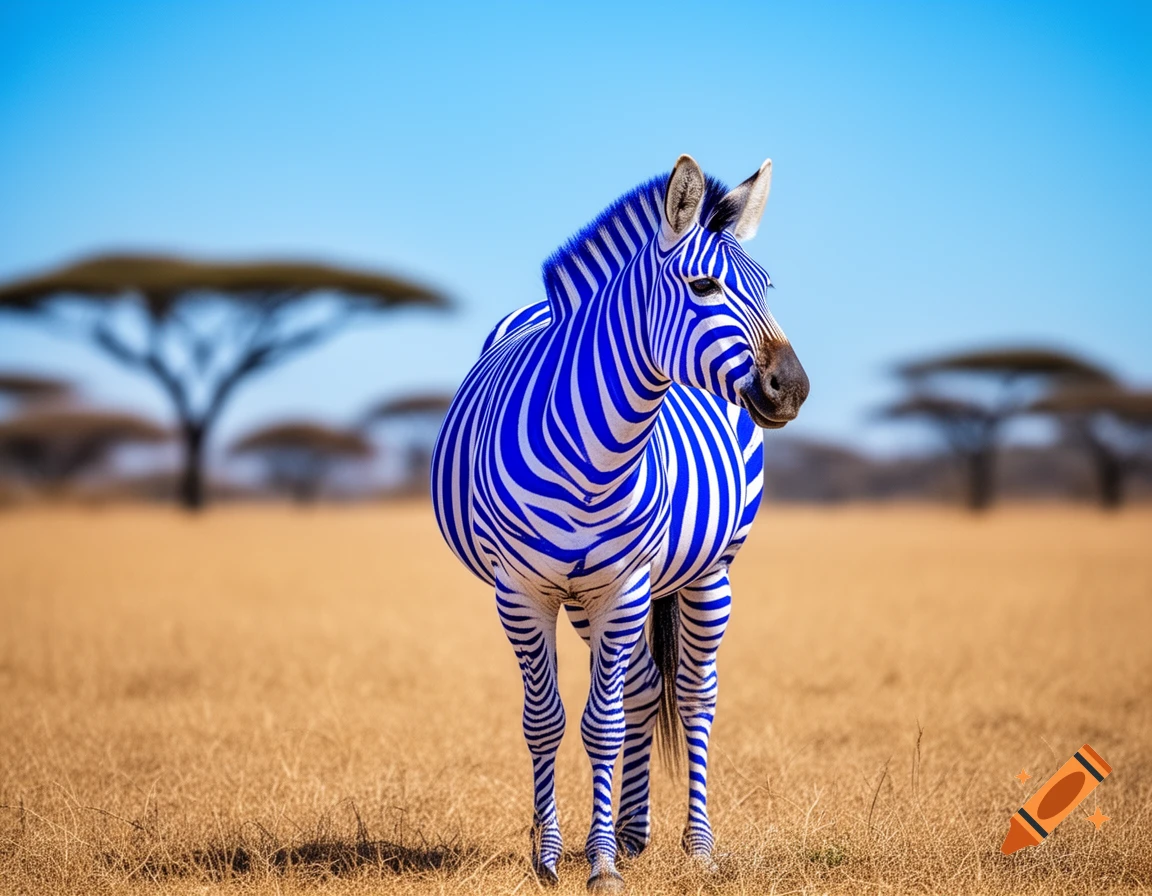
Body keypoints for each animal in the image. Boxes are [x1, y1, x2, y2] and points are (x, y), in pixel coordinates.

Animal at [431, 154, 808, 892]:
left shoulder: (627, 585)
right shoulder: (522, 592)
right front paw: (550, 854)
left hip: (706, 577)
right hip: (587, 601)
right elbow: (545, 721)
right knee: (643, 687)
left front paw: (600, 864)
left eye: (767, 287)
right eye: (703, 284)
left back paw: (695, 845)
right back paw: (632, 832)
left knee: (691, 695)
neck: (598, 452)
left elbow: (599, 724)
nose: (794, 389)